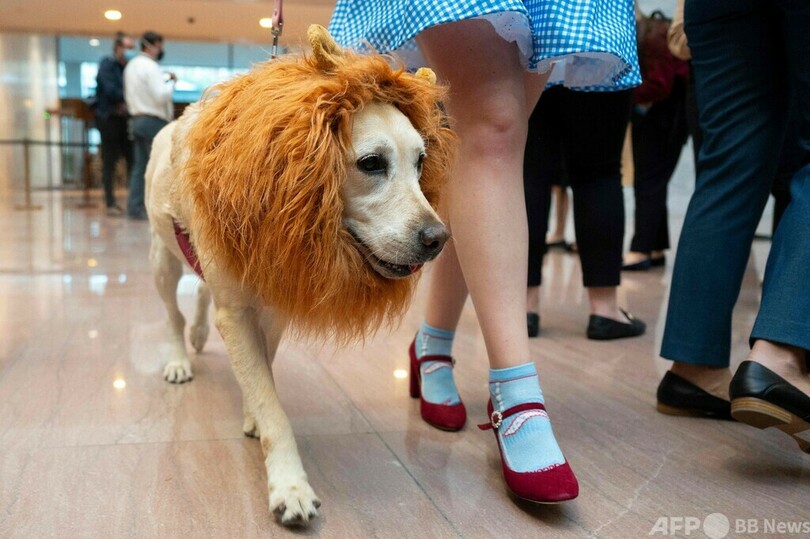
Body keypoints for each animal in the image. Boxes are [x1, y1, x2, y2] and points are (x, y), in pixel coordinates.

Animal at [144, 26, 454, 528]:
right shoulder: (239, 311)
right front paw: (290, 485)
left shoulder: (274, 302)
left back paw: (198, 334)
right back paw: (178, 357)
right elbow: (273, 406)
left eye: (421, 162)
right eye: (371, 163)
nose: (437, 239)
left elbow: (263, 371)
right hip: (162, 260)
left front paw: (252, 409)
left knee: (201, 295)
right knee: (172, 312)